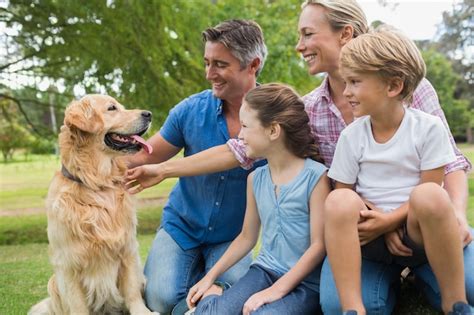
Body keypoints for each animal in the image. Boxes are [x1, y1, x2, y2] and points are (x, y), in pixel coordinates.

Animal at [28, 95, 156, 314]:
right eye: (112, 108)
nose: (149, 114)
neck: (97, 183)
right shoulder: (67, 263)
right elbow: (77, 304)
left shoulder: (128, 249)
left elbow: (132, 291)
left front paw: (143, 312)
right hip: (53, 283)